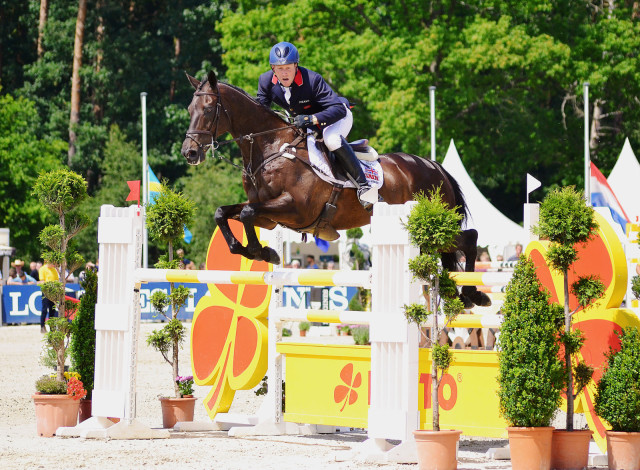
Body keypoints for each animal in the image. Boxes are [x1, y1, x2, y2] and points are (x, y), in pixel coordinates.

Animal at [180, 69, 490, 304]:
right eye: (189, 109)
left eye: (209, 109)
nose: (189, 153)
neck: (271, 148)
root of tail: (435, 167)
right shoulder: (267, 216)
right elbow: (224, 212)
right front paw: (251, 250)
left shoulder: (295, 210)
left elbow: (245, 215)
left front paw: (263, 253)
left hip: (433, 224)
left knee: (471, 238)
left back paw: (474, 294)